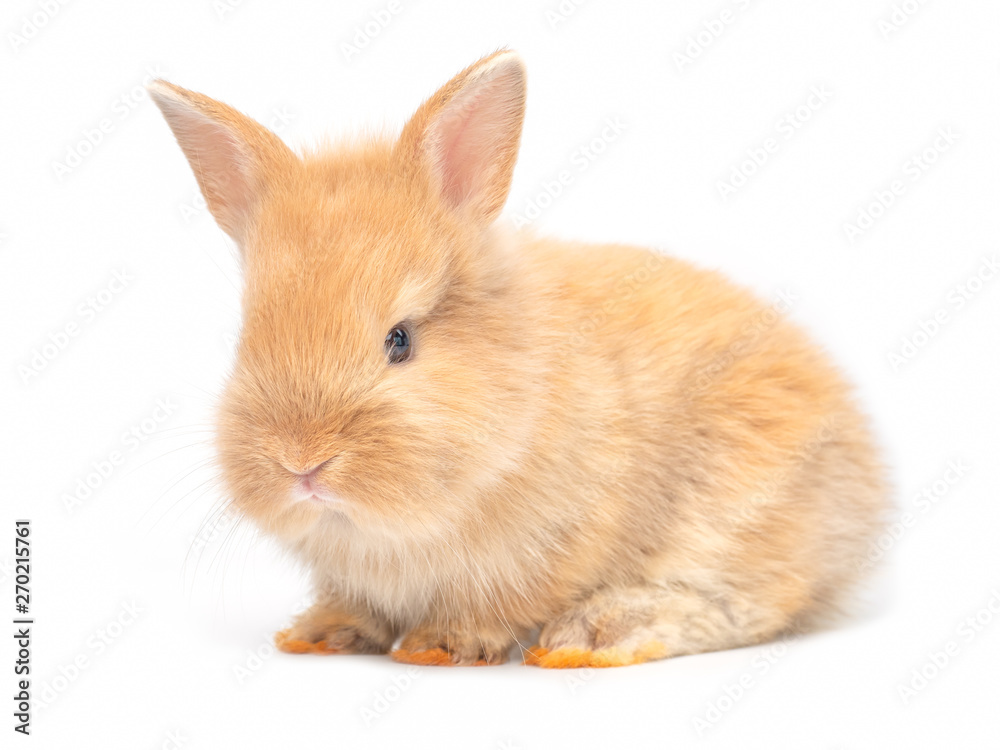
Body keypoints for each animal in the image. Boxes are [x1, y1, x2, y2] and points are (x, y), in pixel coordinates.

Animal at [148, 50, 888, 668]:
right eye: (246, 336)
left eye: (400, 340)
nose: (302, 464)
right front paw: (320, 634)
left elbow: (493, 606)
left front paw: (439, 647)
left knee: (753, 600)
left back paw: (597, 636)